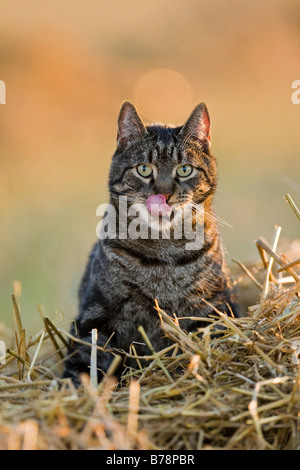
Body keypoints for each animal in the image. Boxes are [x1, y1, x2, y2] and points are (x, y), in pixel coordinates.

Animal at [63, 102, 239, 386]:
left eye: (184, 169)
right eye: (144, 169)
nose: (163, 195)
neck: (164, 250)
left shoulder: (213, 307)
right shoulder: (95, 314)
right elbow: (84, 363)